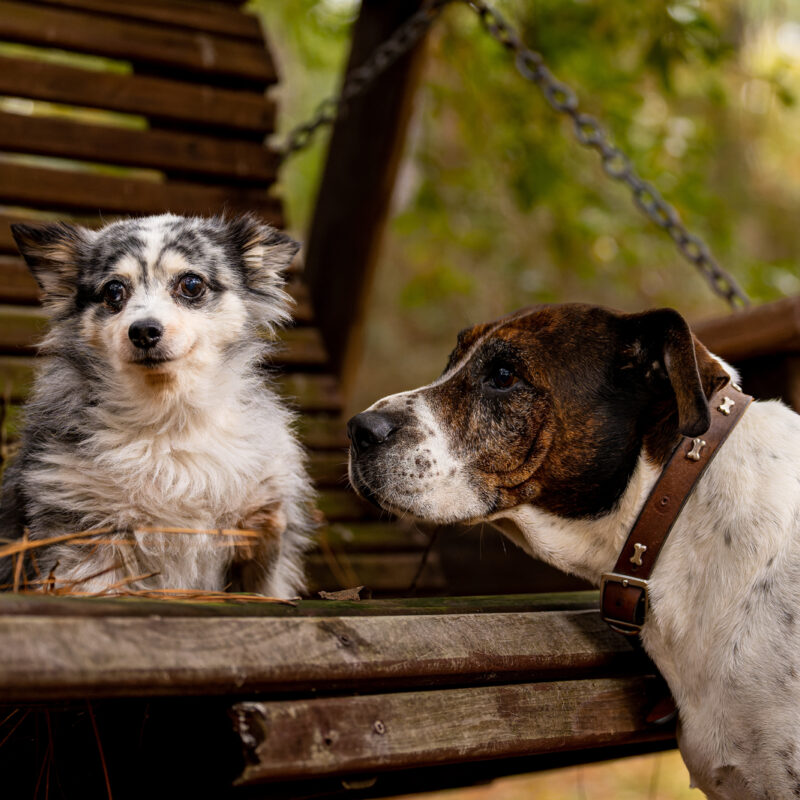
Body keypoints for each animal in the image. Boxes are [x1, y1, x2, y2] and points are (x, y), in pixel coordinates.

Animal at [0, 216, 312, 596]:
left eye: (191, 284)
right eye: (113, 291)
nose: (144, 331)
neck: (168, 417)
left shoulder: (257, 535)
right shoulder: (85, 537)